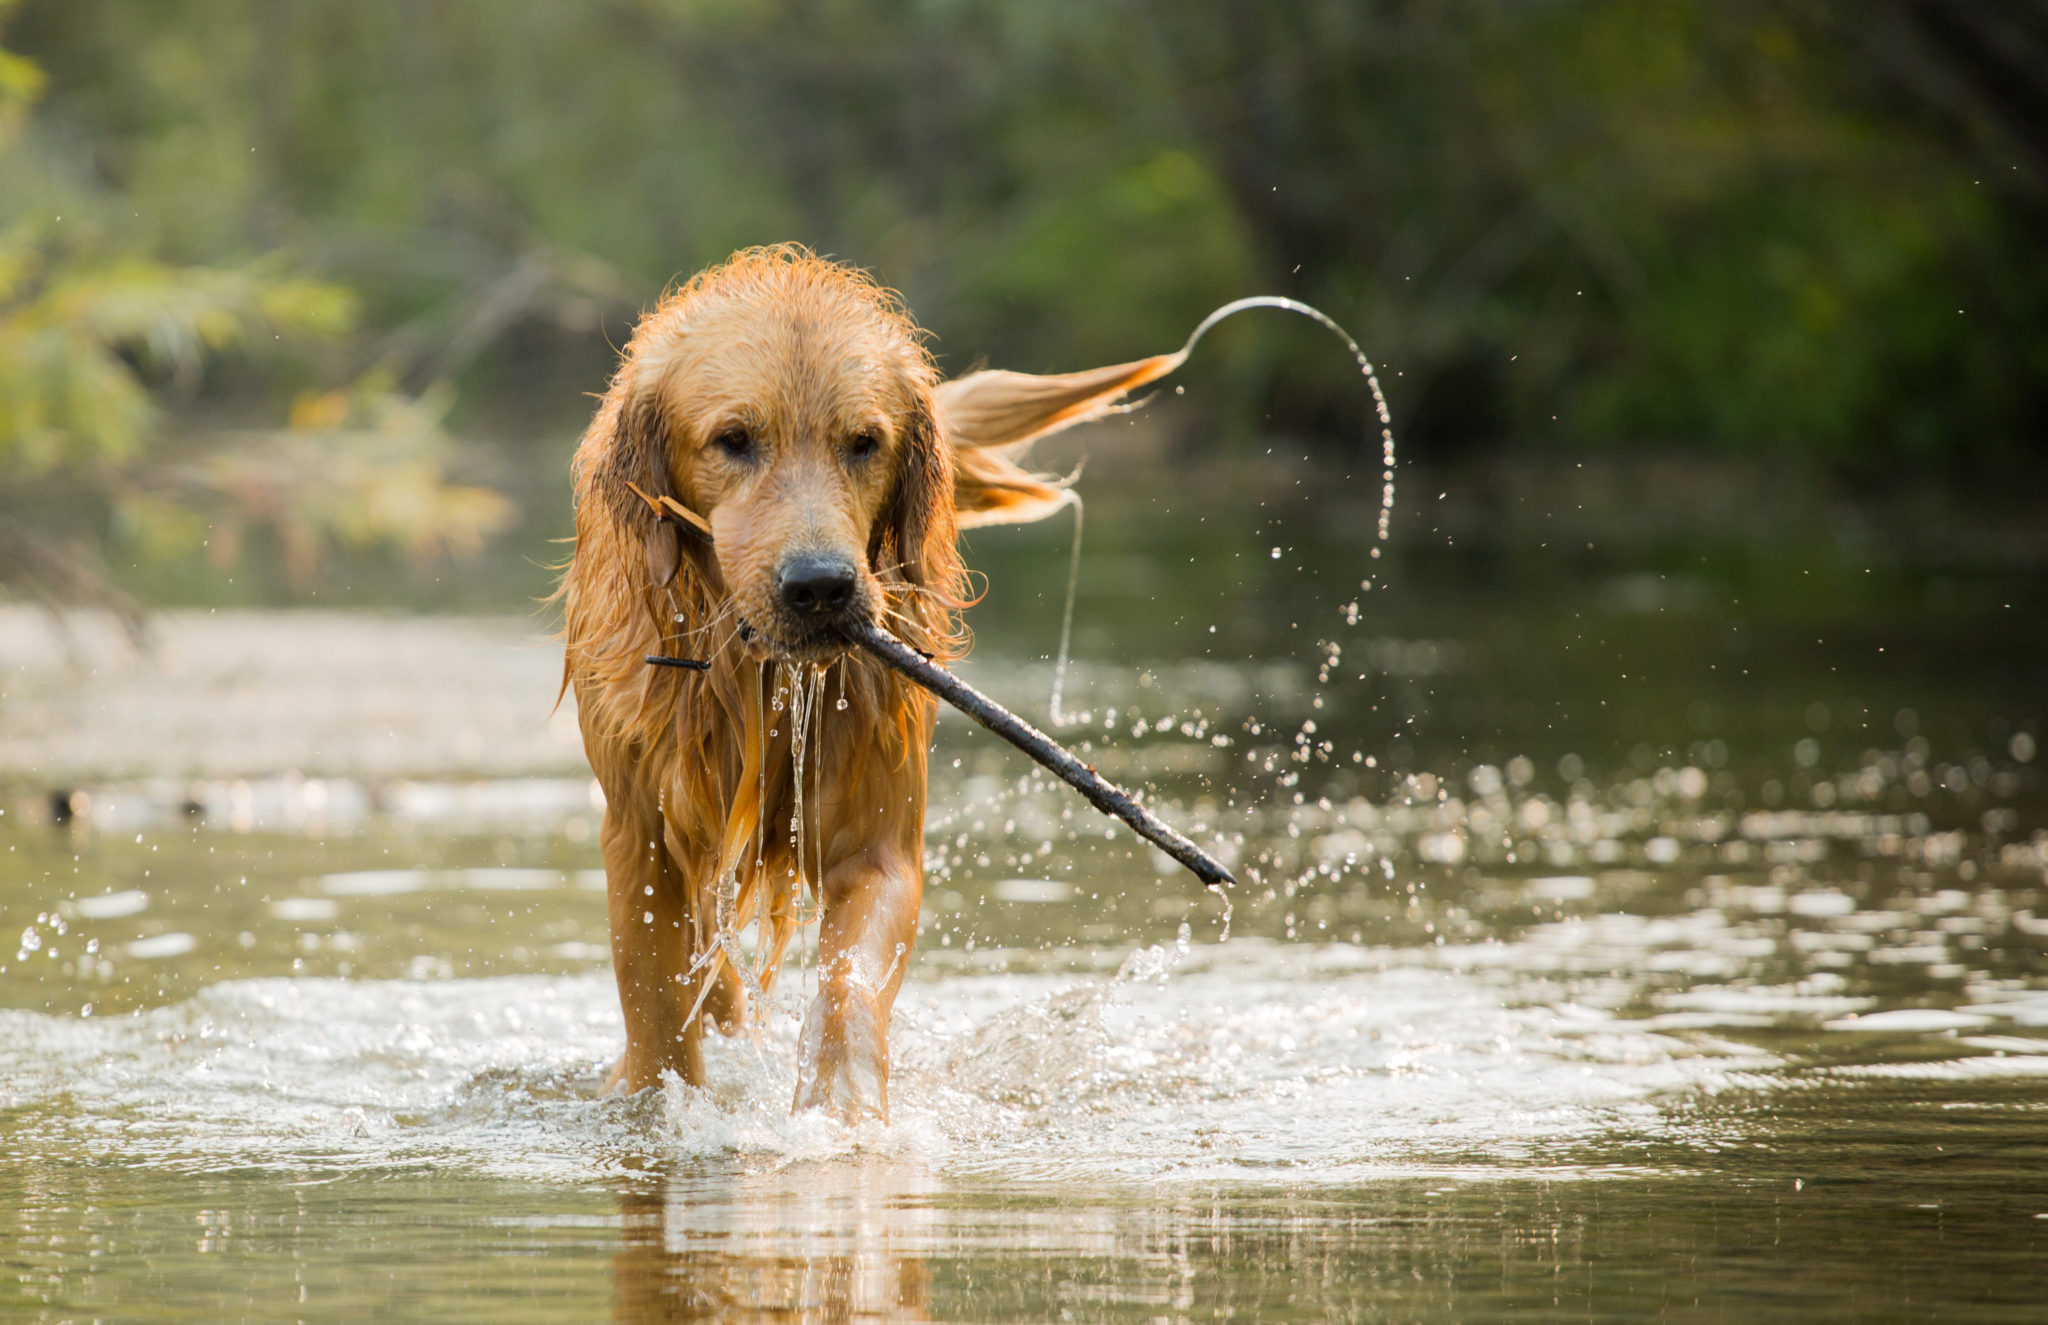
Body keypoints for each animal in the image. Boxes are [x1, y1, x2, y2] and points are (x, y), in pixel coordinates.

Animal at [561, 248, 1179, 1122]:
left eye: (863, 442)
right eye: (733, 440)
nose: (819, 586)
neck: (760, 682)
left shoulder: (876, 838)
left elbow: (849, 981)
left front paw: (843, 1112)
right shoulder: (641, 839)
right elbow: (657, 1014)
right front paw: (658, 1101)